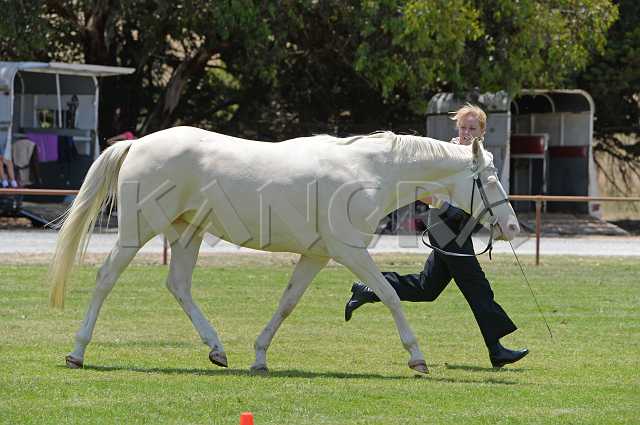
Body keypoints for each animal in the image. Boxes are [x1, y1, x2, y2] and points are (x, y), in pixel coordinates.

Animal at [48, 126, 519, 374]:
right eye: (489, 178)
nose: (512, 226)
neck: (370, 171)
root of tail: (137, 143)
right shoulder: (349, 250)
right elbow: (388, 295)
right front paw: (417, 358)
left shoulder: (317, 254)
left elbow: (287, 303)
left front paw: (259, 357)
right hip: (139, 228)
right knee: (106, 278)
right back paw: (77, 351)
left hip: (188, 233)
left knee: (178, 285)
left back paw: (217, 350)